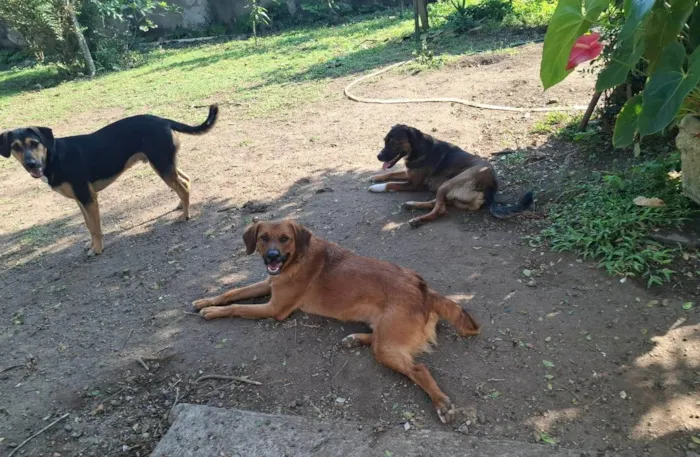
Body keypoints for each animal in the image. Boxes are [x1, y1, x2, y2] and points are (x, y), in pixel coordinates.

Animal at [0, 104, 219, 256]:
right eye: (16, 147)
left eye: (34, 143)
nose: (31, 164)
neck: (54, 156)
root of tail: (163, 120)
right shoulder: (81, 200)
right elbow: (89, 226)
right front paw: (90, 244)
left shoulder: (88, 198)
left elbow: (96, 228)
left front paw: (97, 249)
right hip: (164, 164)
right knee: (185, 180)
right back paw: (180, 206)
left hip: (162, 166)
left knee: (183, 187)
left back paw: (185, 215)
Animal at [194, 219, 484, 422]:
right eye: (263, 238)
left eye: (285, 239)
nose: (272, 257)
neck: (297, 258)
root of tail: (424, 288)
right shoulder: (268, 284)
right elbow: (233, 292)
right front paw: (205, 301)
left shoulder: (275, 308)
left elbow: (237, 306)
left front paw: (213, 312)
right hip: (384, 335)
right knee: (379, 340)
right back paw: (354, 339)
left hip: (388, 346)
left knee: (418, 368)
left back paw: (441, 403)